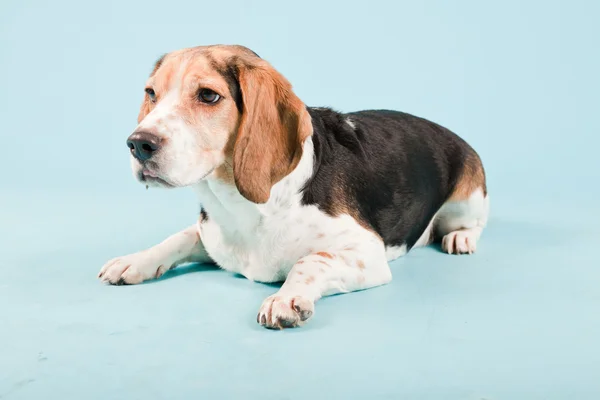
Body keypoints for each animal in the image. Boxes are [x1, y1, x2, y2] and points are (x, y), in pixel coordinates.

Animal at [98, 45, 490, 330]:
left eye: (208, 96)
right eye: (151, 93)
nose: (138, 144)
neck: (245, 208)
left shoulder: (367, 253)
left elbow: (310, 259)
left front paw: (285, 299)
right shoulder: (209, 233)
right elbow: (176, 238)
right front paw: (133, 261)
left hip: (468, 195)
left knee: (473, 223)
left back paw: (461, 238)